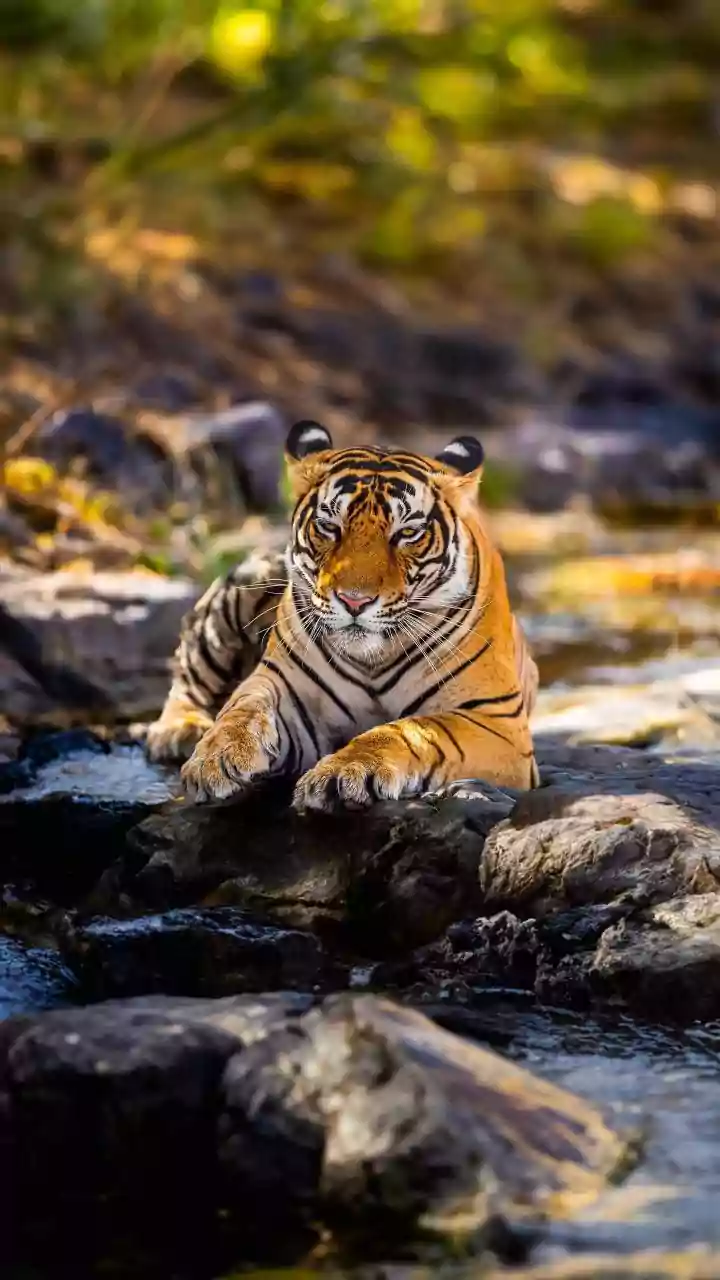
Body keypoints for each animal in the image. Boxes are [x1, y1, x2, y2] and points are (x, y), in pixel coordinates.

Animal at [146, 420, 539, 810]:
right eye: (329, 527)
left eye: (407, 533)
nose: (354, 601)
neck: (373, 659)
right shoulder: (281, 687)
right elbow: (242, 708)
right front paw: (216, 756)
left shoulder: (495, 721)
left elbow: (413, 731)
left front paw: (345, 772)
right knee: (189, 679)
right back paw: (181, 730)